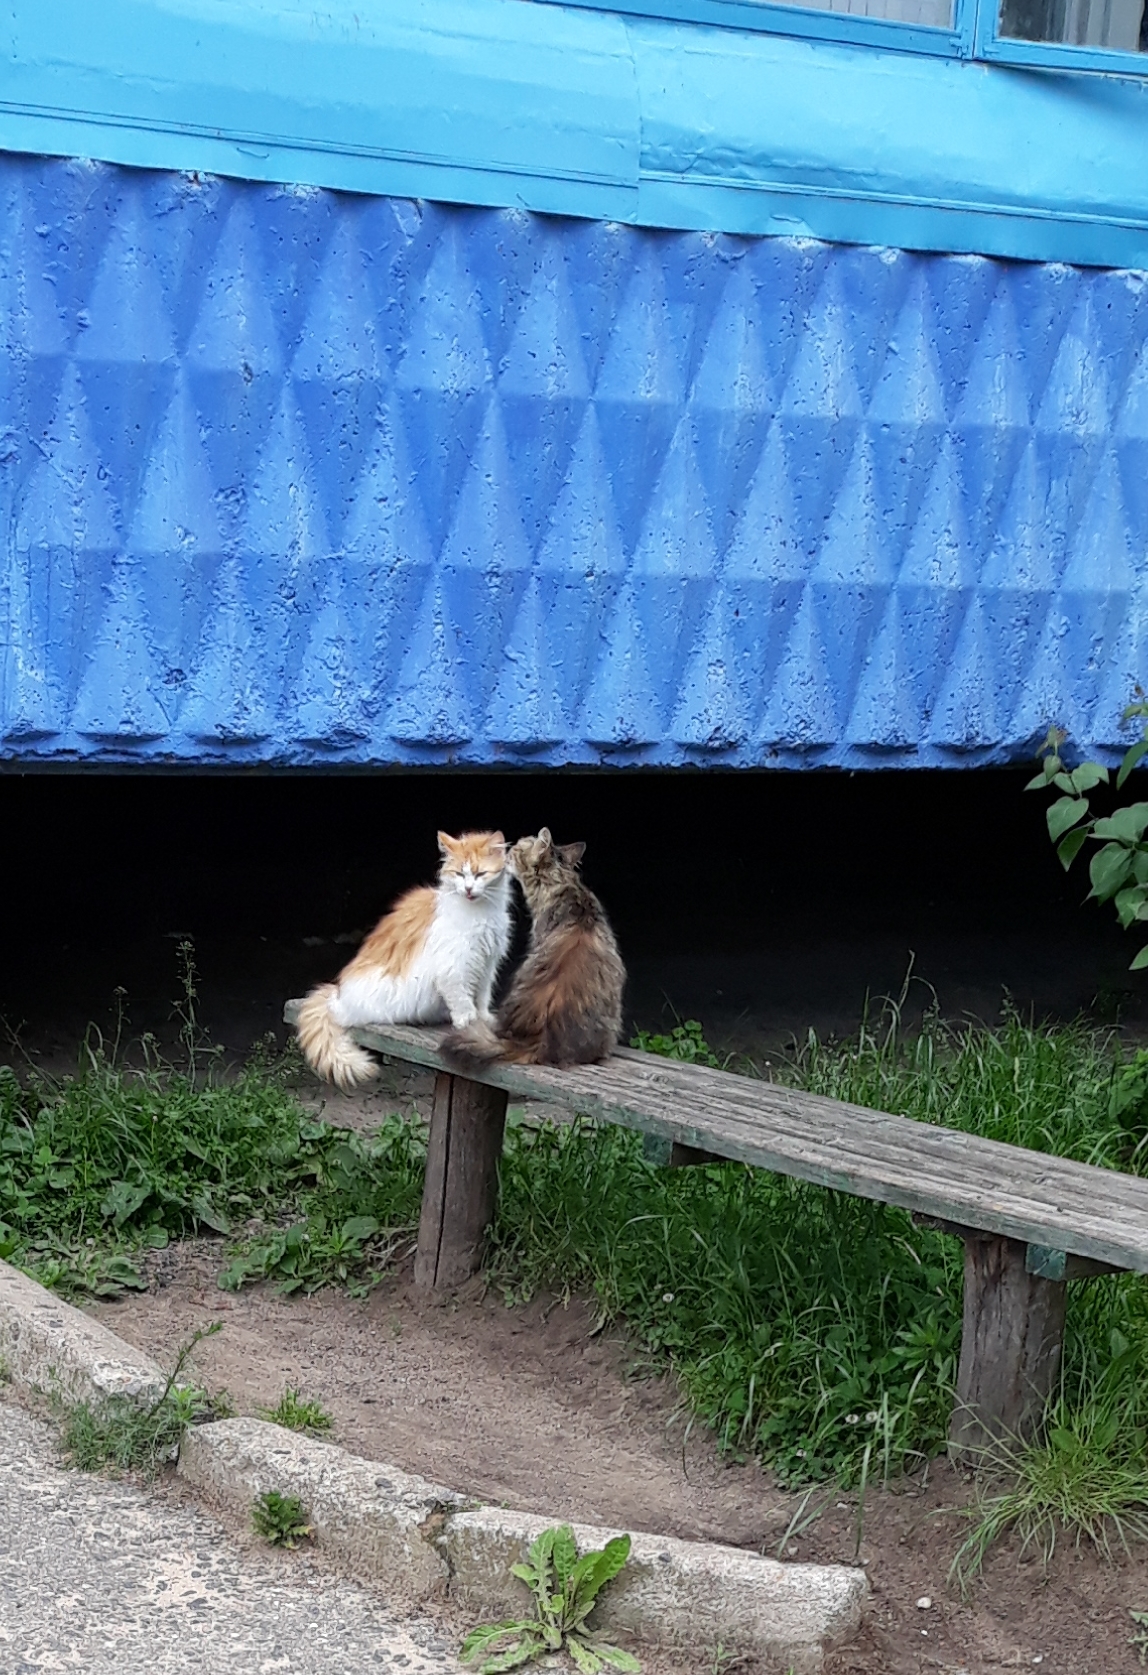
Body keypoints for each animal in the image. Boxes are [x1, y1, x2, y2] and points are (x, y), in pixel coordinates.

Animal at [294, 830, 509, 1092]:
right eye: (460, 874)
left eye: (479, 874)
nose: (468, 890)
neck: (482, 912)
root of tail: (337, 993)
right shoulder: (454, 969)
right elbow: (463, 1002)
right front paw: (469, 1024)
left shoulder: (487, 964)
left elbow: (482, 997)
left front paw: (485, 1019)